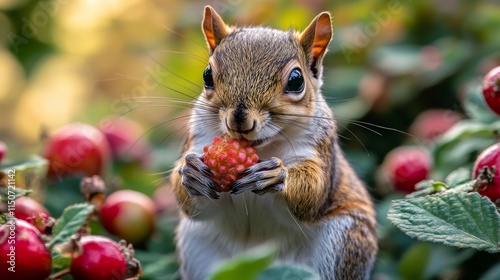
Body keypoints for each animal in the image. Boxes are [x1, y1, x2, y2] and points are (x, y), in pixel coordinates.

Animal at [170, 4, 376, 280]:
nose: (239, 121)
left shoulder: (320, 149)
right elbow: (196, 207)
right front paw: (191, 174)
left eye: (296, 80)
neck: (263, 147)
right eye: (207, 75)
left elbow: (313, 192)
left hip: (344, 239)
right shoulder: (199, 137)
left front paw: (276, 175)